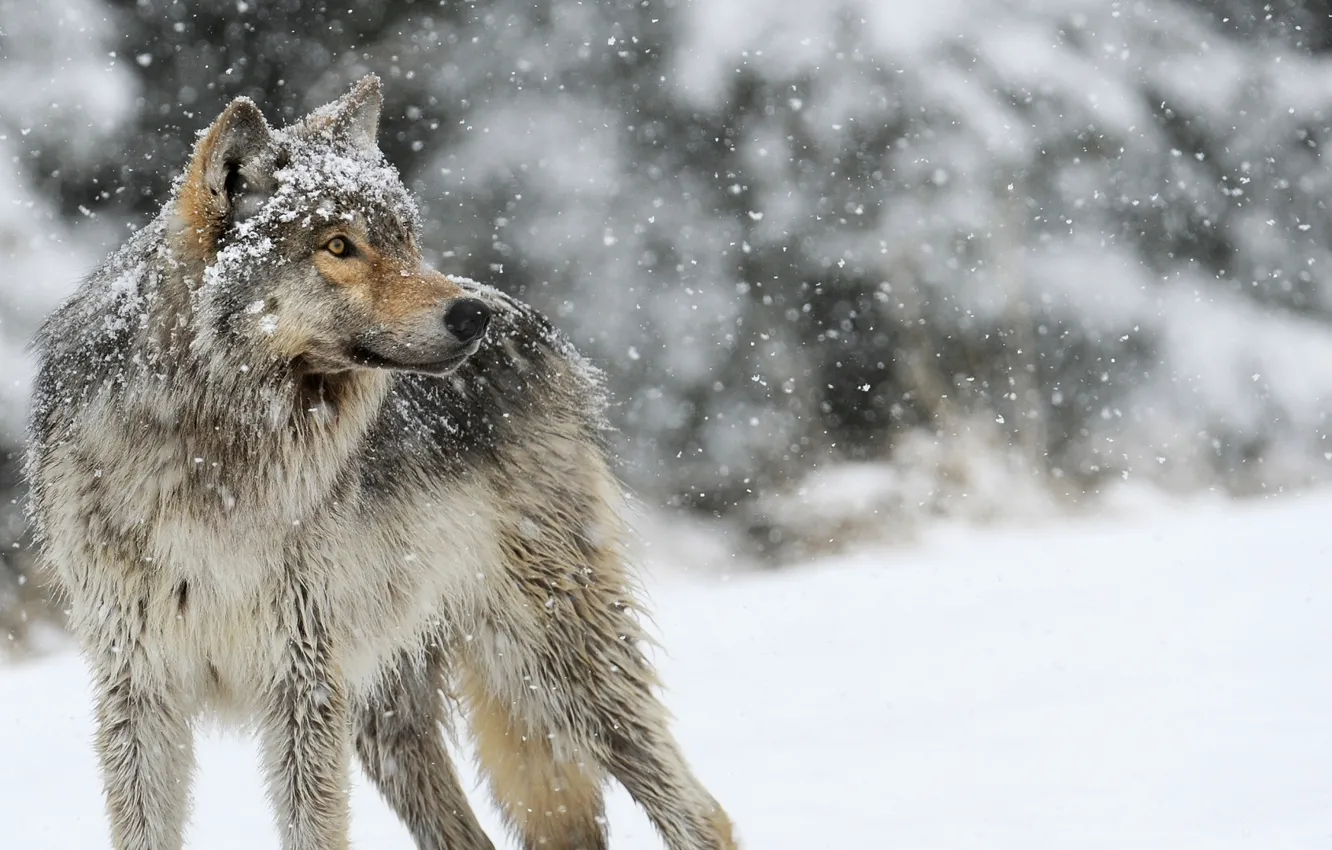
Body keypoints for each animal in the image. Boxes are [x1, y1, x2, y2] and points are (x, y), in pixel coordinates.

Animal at [24, 76, 736, 850]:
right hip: (386, 718)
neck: (216, 450)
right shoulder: (140, 689)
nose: (471, 318)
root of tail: (531, 322)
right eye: (339, 245)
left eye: (406, 237)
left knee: (704, 813)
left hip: (553, 662)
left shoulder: (301, 683)